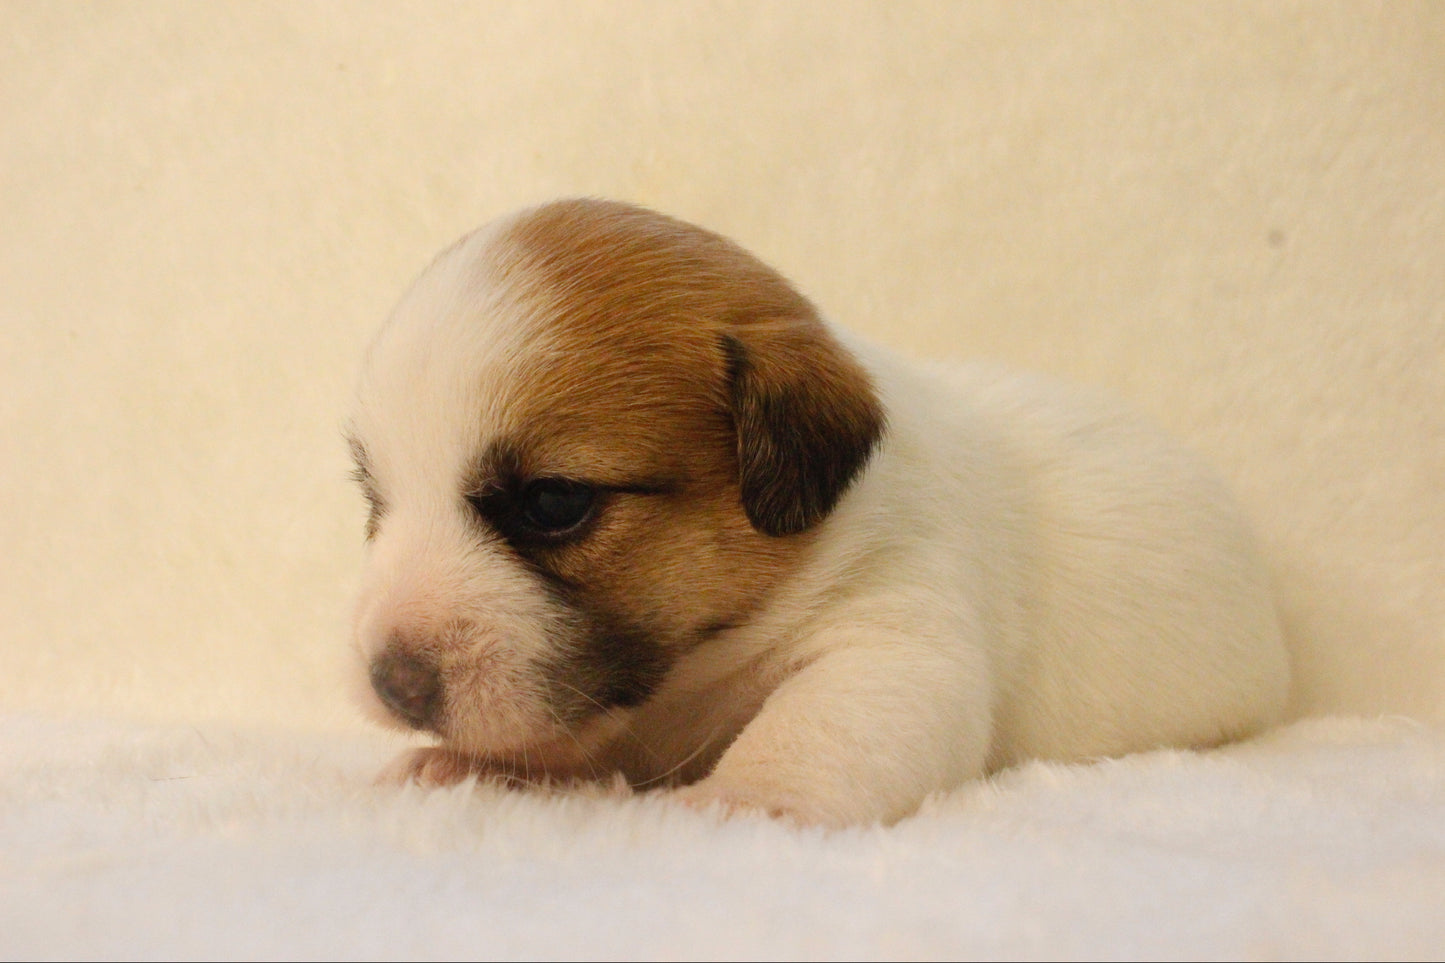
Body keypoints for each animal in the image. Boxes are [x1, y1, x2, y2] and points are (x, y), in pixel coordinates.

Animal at [343, 198, 1294, 821]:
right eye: (376, 498)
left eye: (552, 503)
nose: (391, 683)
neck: (699, 673)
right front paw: (462, 769)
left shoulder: (892, 641)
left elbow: (814, 728)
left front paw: (741, 800)